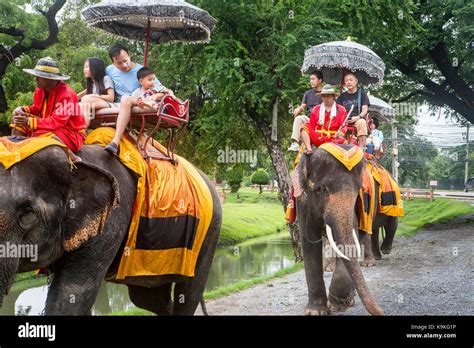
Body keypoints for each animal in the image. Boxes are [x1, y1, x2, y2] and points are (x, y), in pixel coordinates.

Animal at [0, 142, 222, 316]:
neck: (74, 159)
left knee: (188, 293)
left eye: (27, 213)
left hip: (208, 235)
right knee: (148, 298)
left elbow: (72, 295)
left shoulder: (109, 223)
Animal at [296, 148, 386, 316]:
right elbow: (309, 242)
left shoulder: (356, 207)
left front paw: (337, 306)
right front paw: (315, 312)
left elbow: (350, 245)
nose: (382, 311)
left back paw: (349, 300)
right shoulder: (303, 202)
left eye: (358, 190)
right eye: (321, 189)